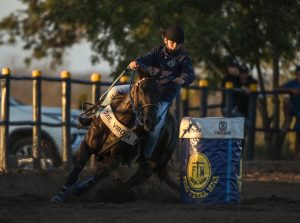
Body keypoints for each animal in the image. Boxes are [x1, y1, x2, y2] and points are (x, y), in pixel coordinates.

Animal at [50, 69, 179, 203]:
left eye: (159, 94)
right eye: (141, 91)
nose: (150, 121)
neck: (122, 119)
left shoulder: (117, 158)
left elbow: (101, 172)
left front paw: (80, 189)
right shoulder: (87, 145)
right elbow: (76, 169)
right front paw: (59, 196)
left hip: (157, 159)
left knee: (142, 175)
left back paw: (111, 193)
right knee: (144, 173)